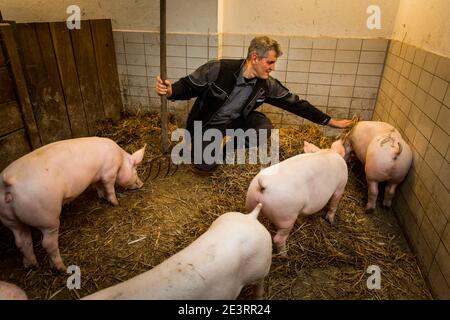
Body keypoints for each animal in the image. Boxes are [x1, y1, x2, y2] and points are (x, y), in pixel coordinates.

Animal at [0, 136, 146, 272]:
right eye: (136, 171)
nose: (142, 184)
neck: (120, 158)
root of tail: (9, 182)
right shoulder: (109, 172)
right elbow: (109, 187)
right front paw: (115, 203)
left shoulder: (96, 177)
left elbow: (98, 186)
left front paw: (101, 196)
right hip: (46, 217)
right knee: (47, 243)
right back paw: (61, 268)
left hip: (10, 219)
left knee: (22, 241)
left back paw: (31, 265)